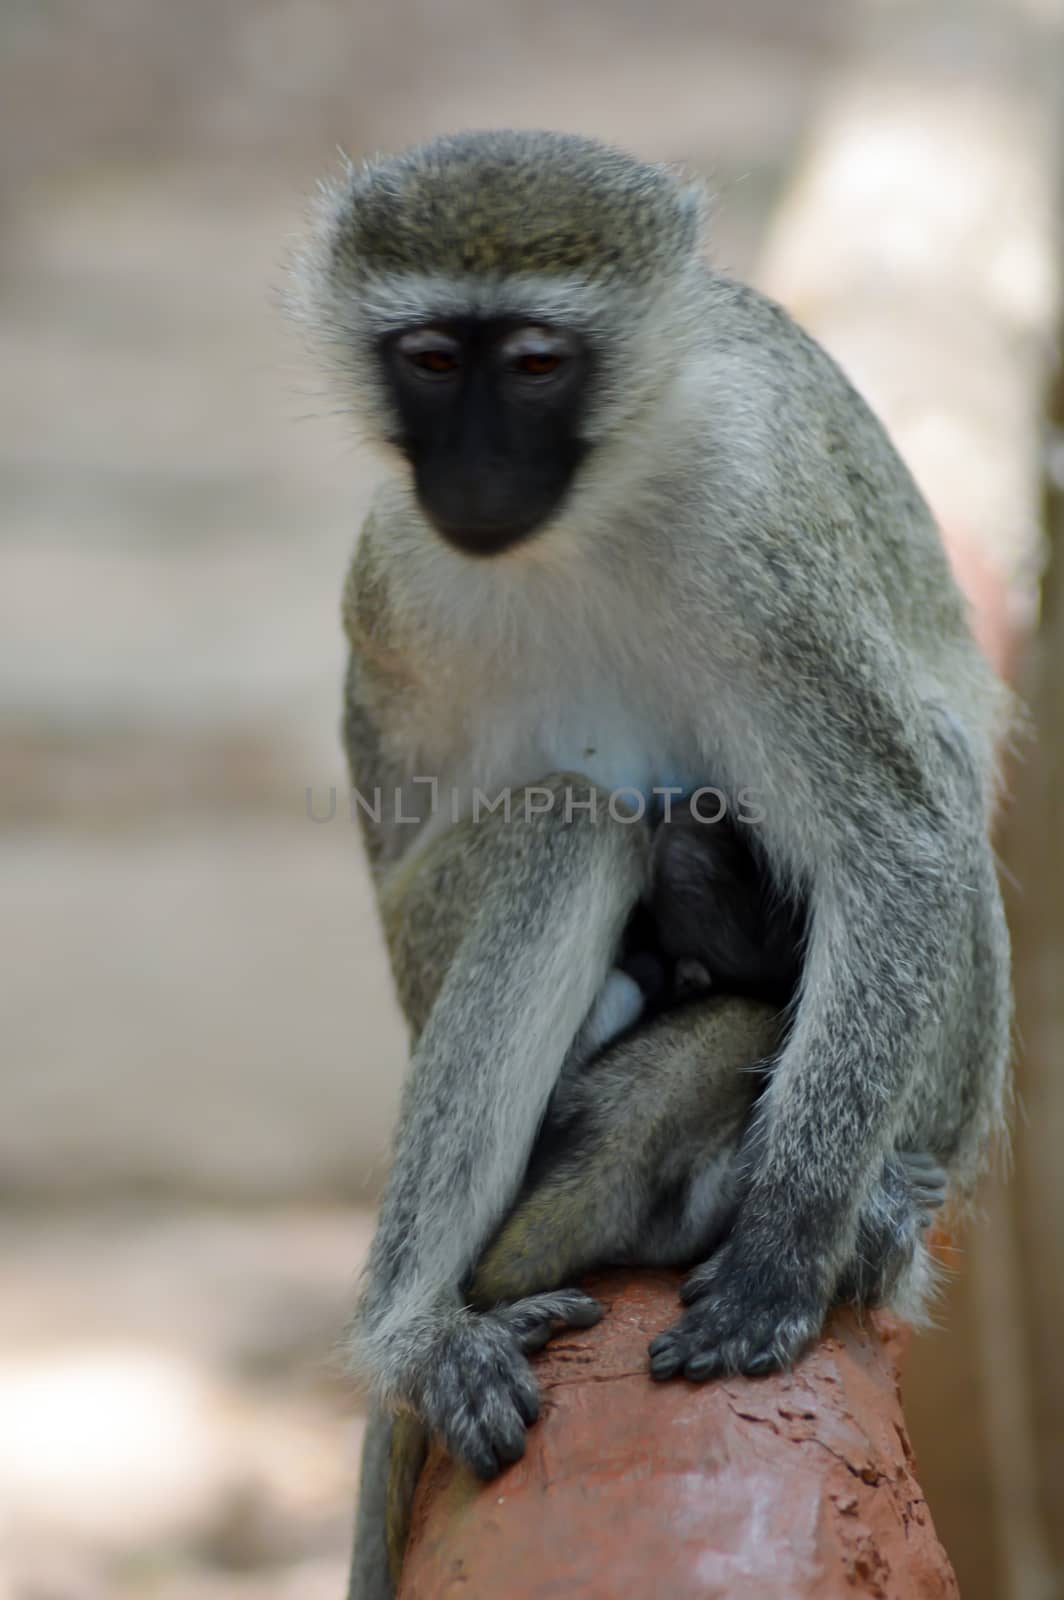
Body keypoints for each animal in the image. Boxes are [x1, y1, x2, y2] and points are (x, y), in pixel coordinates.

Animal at [288, 124, 1004, 1574]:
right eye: (431, 360)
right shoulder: (389, 566)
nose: (474, 474)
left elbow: (901, 837)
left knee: (937, 764)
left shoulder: (757, 542)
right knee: (566, 829)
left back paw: (865, 1209)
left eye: (536, 364)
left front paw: (788, 1242)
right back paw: (420, 1328)